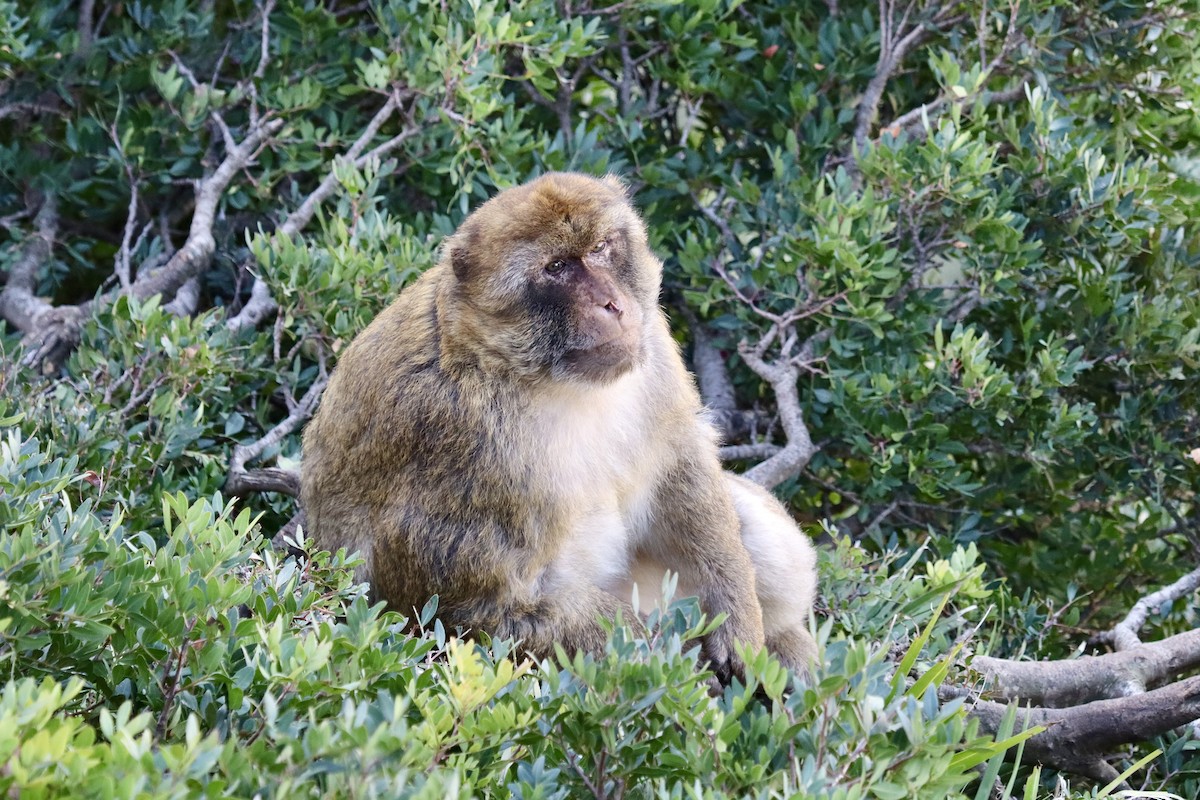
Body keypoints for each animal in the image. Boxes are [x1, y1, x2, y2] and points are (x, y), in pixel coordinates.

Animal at [300, 172, 818, 682]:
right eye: (556, 268)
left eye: (602, 248)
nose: (612, 304)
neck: (534, 375)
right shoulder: (464, 440)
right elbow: (482, 604)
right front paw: (664, 660)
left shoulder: (653, 354)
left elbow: (680, 471)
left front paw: (736, 615)